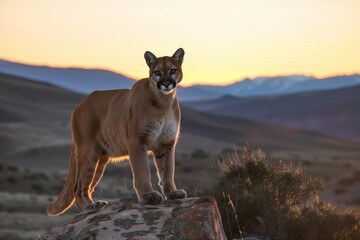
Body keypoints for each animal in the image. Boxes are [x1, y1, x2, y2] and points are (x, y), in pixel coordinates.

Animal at [46, 48, 187, 216]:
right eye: (157, 72)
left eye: (173, 70)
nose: (166, 84)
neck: (163, 102)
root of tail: (80, 104)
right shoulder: (137, 141)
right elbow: (142, 170)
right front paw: (148, 195)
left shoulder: (166, 143)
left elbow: (168, 170)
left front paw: (172, 193)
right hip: (88, 152)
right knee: (78, 187)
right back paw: (89, 206)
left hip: (101, 159)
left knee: (87, 186)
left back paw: (95, 204)